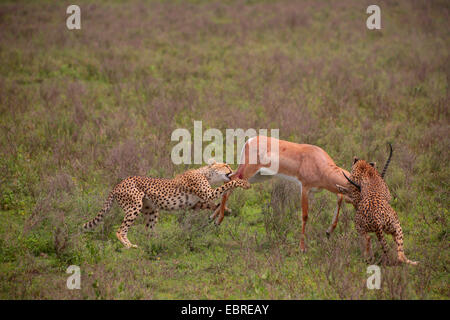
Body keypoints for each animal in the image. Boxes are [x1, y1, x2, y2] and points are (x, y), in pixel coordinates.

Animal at [81, 160, 250, 248]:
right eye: (226, 165)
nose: (233, 170)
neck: (206, 174)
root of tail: (118, 184)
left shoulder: (194, 204)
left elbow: (211, 204)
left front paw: (225, 209)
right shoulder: (206, 193)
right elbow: (225, 187)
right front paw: (242, 182)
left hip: (151, 210)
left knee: (149, 231)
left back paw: (158, 242)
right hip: (134, 206)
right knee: (120, 230)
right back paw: (129, 245)